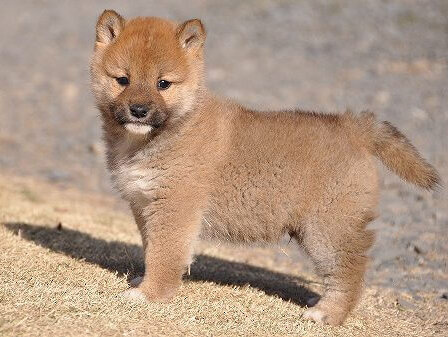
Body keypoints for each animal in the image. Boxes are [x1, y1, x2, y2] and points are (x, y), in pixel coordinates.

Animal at [89, 9, 440, 326]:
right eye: (123, 80)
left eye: (163, 84)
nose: (139, 110)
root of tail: (352, 127)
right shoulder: (143, 205)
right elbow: (152, 248)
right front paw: (144, 282)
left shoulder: (174, 208)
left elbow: (164, 255)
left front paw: (150, 295)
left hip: (329, 228)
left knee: (349, 274)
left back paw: (326, 314)